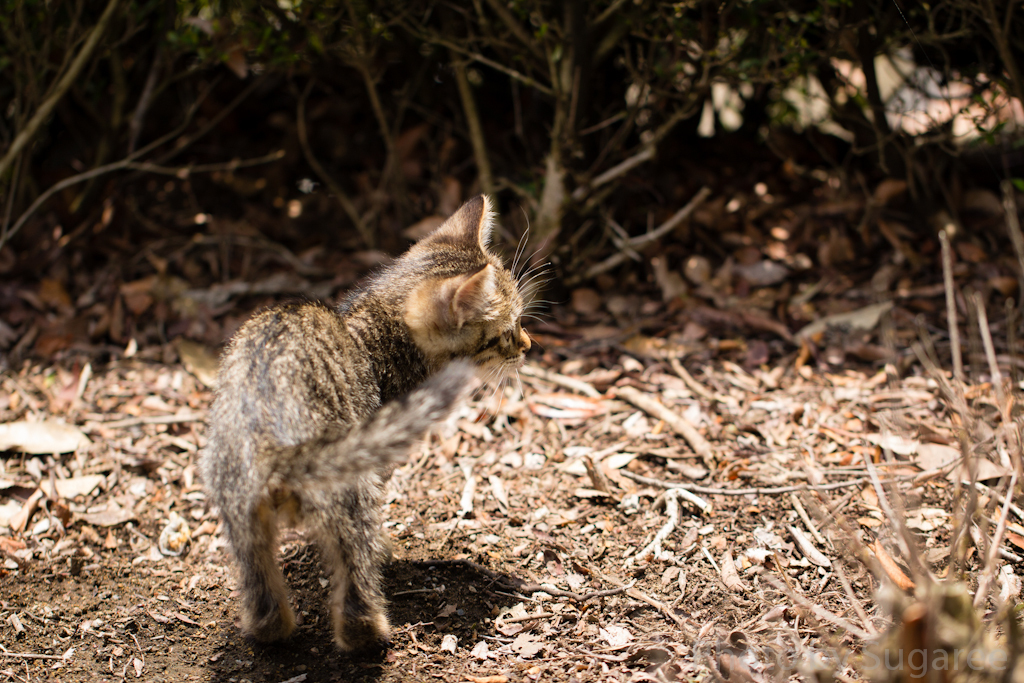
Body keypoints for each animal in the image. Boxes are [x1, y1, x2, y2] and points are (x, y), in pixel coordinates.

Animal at [201, 196, 536, 651]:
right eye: (507, 330)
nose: (529, 344)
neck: (371, 330)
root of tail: (270, 440)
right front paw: (385, 550)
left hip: (237, 509)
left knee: (261, 598)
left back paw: (274, 629)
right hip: (350, 487)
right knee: (354, 575)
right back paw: (374, 631)